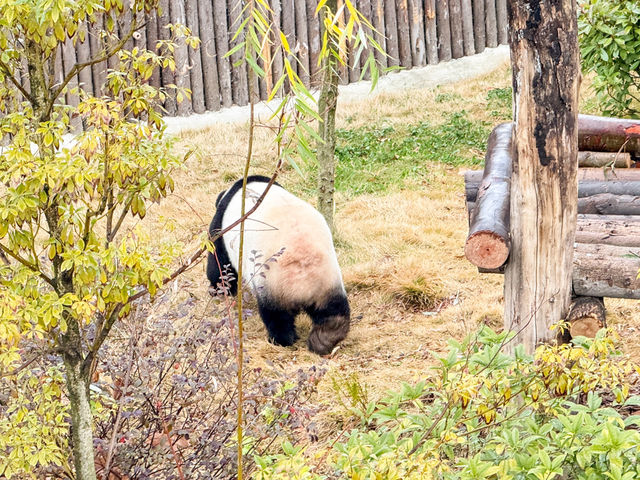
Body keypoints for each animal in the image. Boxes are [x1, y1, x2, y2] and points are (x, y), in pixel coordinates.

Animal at [208, 174, 350, 354]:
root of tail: (304, 284)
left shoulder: (222, 226)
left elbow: (218, 262)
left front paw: (218, 290)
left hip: (273, 284)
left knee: (276, 316)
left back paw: (280, 340)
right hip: (328, 280)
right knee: (333, 310)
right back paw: (326, 337)